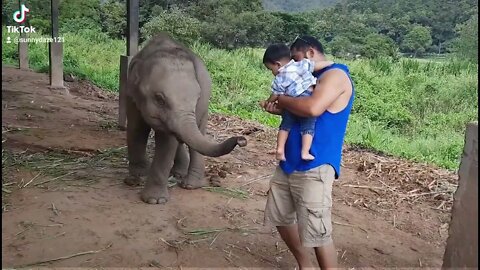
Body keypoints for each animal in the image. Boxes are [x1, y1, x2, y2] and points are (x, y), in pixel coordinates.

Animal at [124, 32, 248, 204]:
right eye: (159, 99)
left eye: (196, 98)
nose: (242, 140)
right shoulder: (131, 93)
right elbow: (136, 128)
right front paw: (138, 177)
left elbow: (167, 143)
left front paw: (155, 200)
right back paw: (179, 174)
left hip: (204, 106)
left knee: (197, 134)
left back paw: (190, 185)